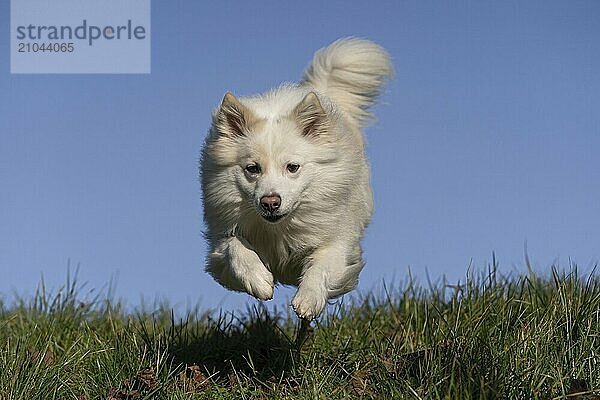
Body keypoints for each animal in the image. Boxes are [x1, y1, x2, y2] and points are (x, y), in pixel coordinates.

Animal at [199, 37, 392, 318]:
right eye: (252, 169)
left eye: (292, 167)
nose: (270, 202)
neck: (280, 228)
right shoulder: (220, 244)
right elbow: (235, 246)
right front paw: (259, 280)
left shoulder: (337, 243)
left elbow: (320, 267)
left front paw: (308, 299)